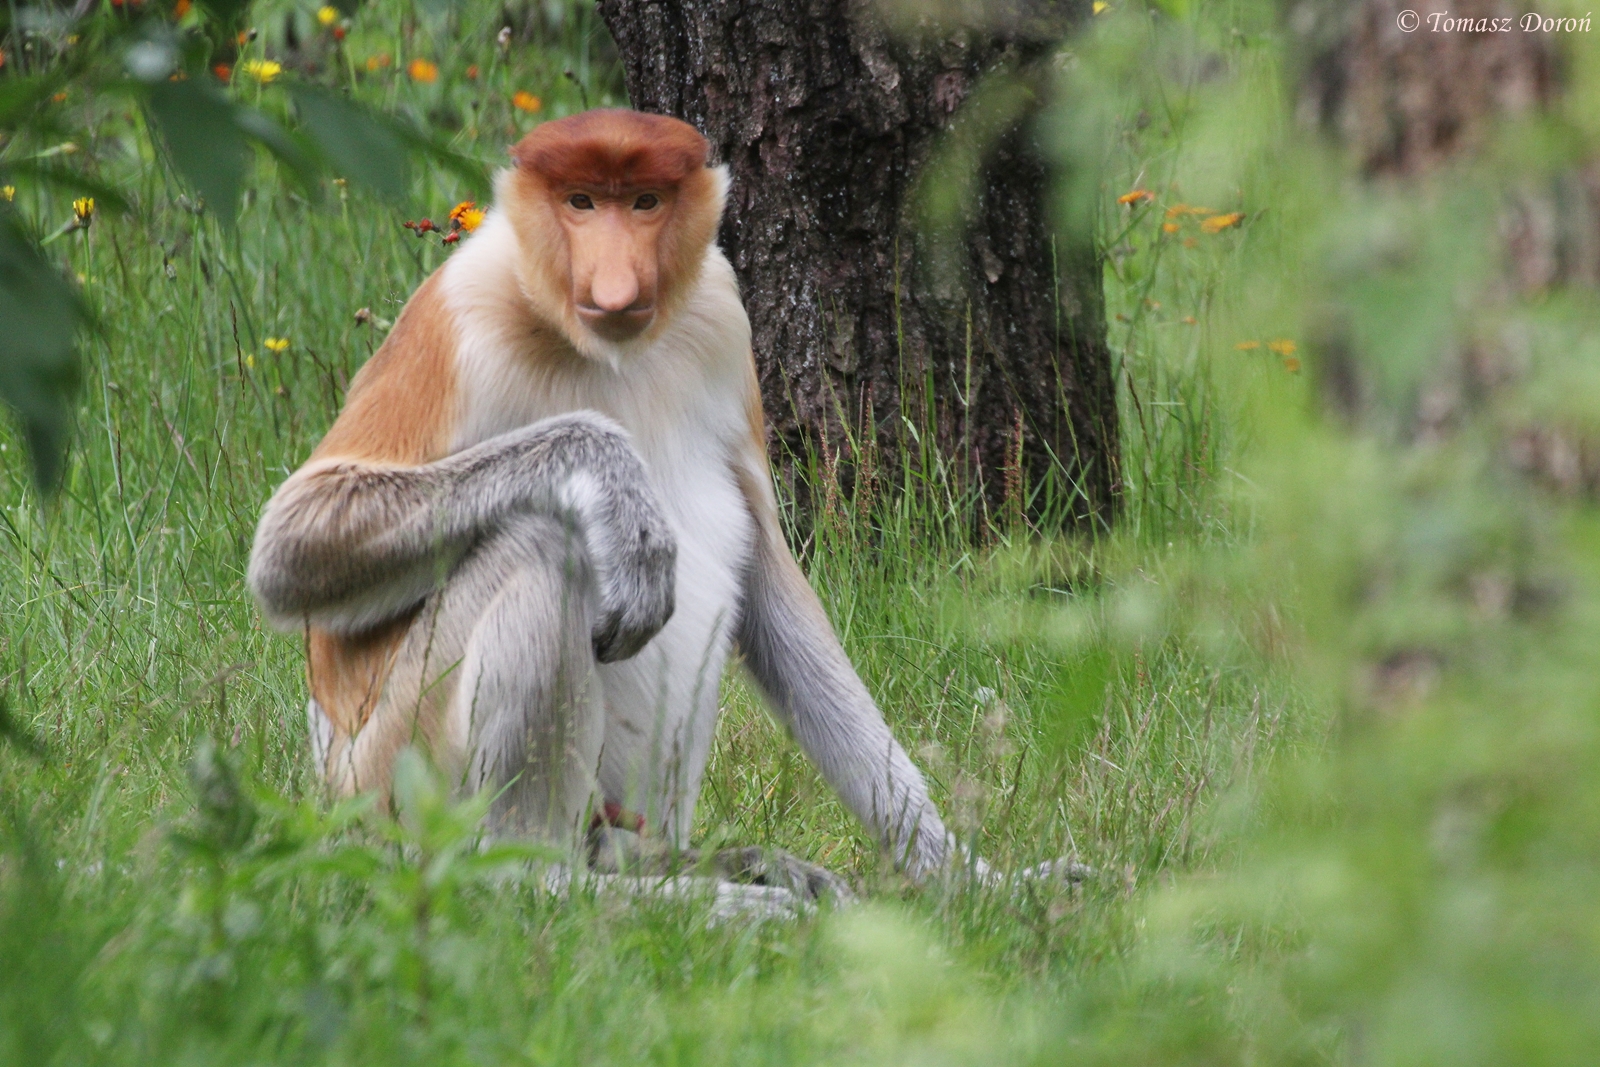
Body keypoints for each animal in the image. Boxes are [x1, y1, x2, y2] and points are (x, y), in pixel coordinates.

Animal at [248, 108, 971, 887]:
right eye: (582, 202)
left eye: (645, 202)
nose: (618, 286)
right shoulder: (457, 314)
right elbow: (293, 544)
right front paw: (619, 491)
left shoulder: (722, 315)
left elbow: (772, 585)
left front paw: (963, 874)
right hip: (393, 772)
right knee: (542, 544)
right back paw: (555, 879)